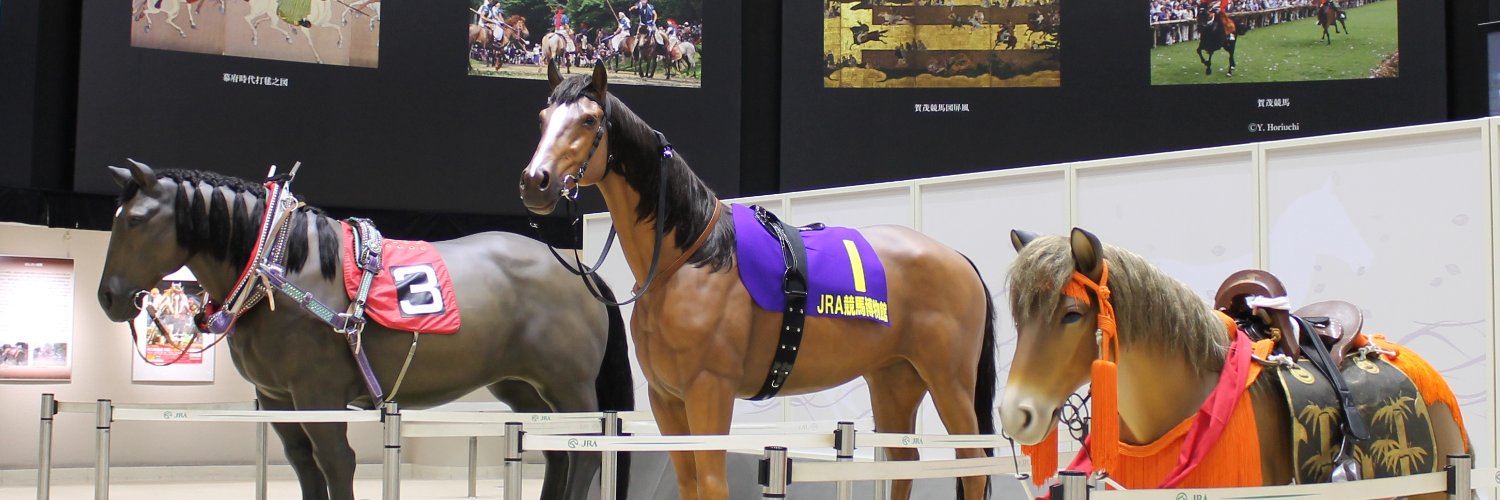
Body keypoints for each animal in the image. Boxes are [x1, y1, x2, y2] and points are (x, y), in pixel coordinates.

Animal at [96, 161, 634, 500]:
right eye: (115, 218)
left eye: (138, 220)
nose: (109, 297)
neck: (282, 267)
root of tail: (579, 271)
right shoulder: (275, 399)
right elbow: (304, 465)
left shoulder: (317, 395)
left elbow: (336, 462)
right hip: (522, 387)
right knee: (558, 453)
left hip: (569, 387)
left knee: (587, 452)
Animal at [519, 62, 998, 500]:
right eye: (542, 119)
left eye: (589, 120)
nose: (534, 183)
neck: (692, 259)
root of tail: (957, 259)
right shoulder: (666, 400)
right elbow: (689, 483)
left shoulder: (709, 390)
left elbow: (712, 483)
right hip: (894, 380)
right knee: (902, 463)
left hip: (950, 383)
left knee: (973, 465)